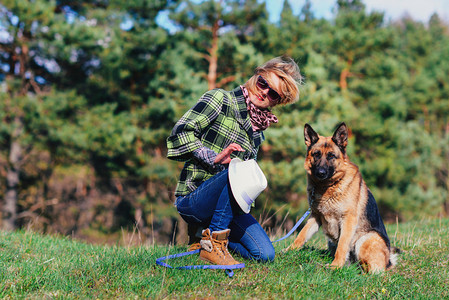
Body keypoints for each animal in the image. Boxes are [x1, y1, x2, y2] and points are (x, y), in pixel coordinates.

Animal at [286, 123, 398, 274]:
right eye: (316, 154)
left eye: (331, 156)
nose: (320, 173)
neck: (328, 186)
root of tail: (389, 260)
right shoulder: (315, 216)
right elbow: (301, 236)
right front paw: (288, 251)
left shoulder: (348, 220)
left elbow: (342, 245)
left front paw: (335, 266)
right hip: (331, 241)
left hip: (365, 239)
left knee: (374, 270)